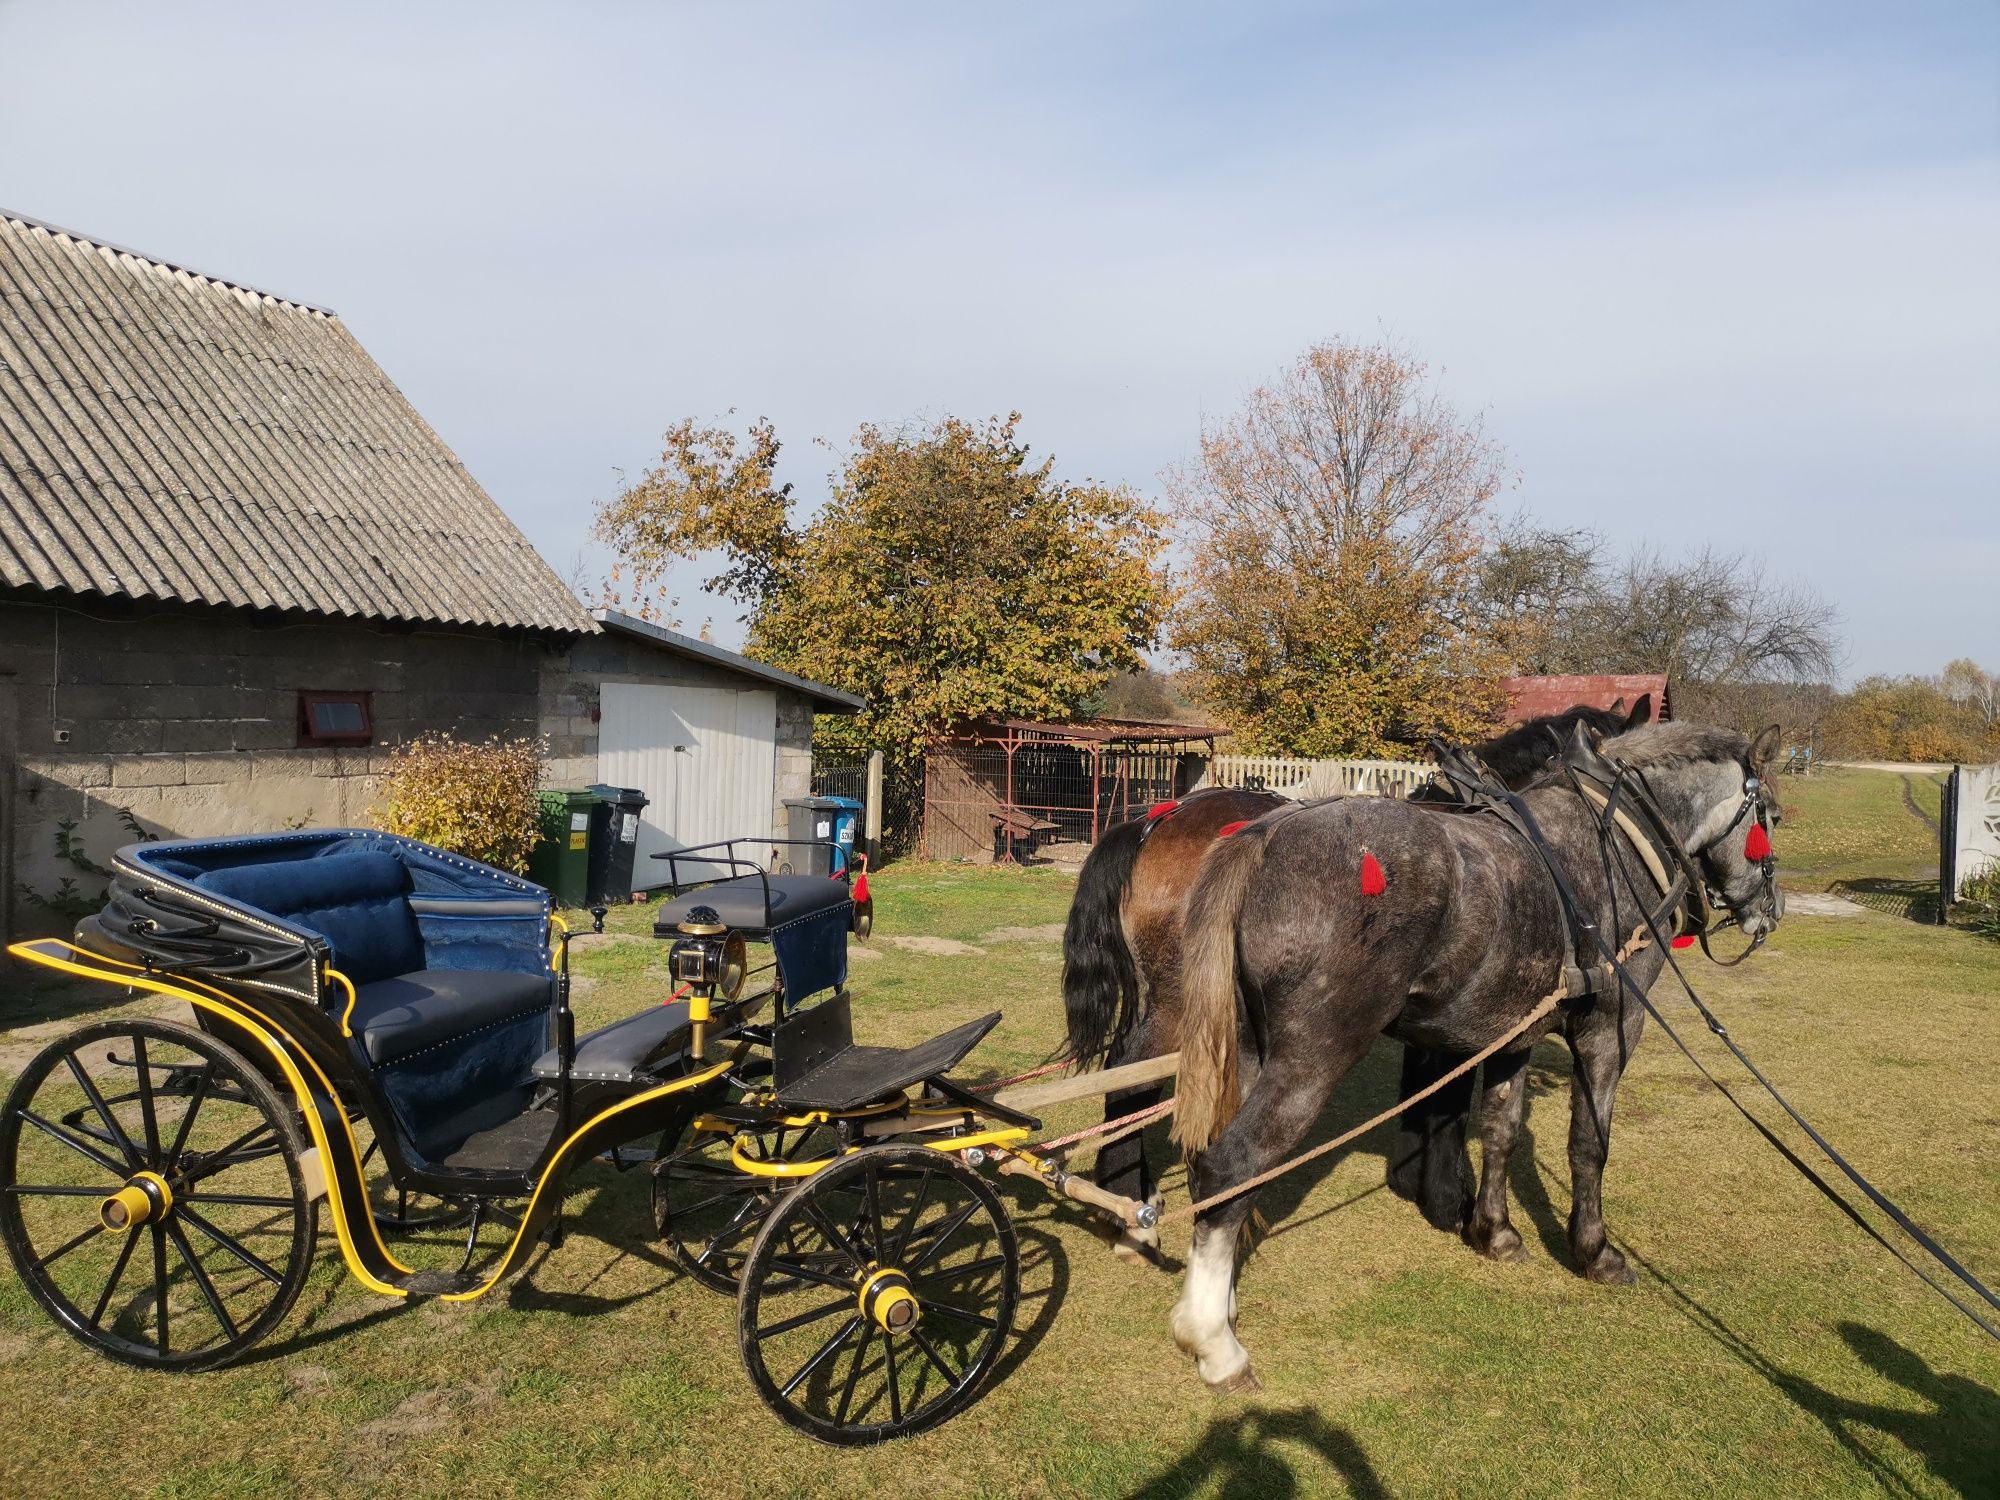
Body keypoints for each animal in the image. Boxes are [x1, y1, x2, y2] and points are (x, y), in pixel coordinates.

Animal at [1056, 700, 1648, 1264]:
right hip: (1181, 1005)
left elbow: (1427, 1091)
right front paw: (1449, 1199)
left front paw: (1419, 1184)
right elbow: (1450, 1101)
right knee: (1129, 1082)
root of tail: (1157, 821)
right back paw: (1130, 1211)